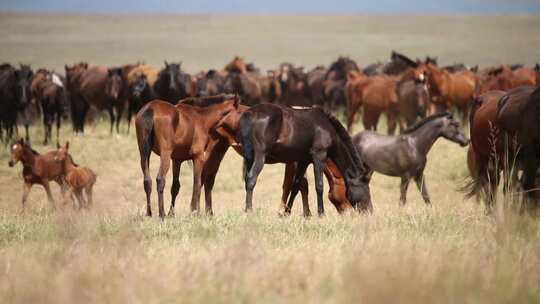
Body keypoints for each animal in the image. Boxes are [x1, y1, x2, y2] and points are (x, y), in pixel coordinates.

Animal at [238, 103, 374, 215]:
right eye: (366, 190)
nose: (370, 211)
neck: (327, 127)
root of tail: (250, 113)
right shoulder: (319, 156)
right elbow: (319, 185)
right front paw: (321, 213)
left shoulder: (304, 161)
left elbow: (296, 185)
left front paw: (286, 213)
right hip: (260, 156)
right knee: (251, 179)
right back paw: (249, 211)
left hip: (250, 157)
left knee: (247, 180)